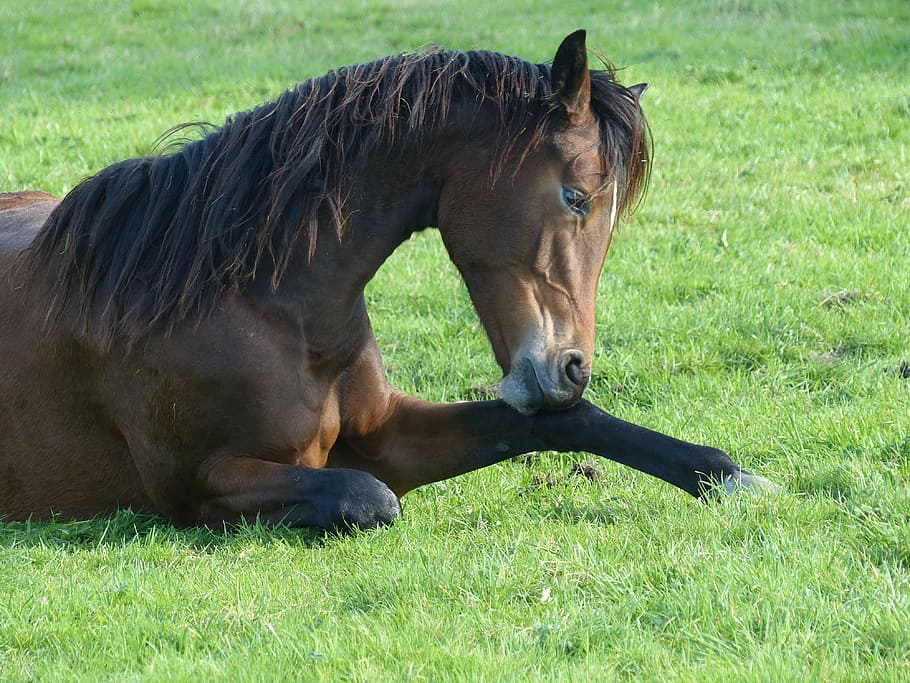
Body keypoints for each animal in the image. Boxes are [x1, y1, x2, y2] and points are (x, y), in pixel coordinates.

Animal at [0, 31, 776, 530]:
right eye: (576, 197)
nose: (571, 367)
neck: (266, 304)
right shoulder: (192, 484)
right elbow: (367, 498)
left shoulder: (390, 433)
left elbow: (567, 422)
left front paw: (734, 477)